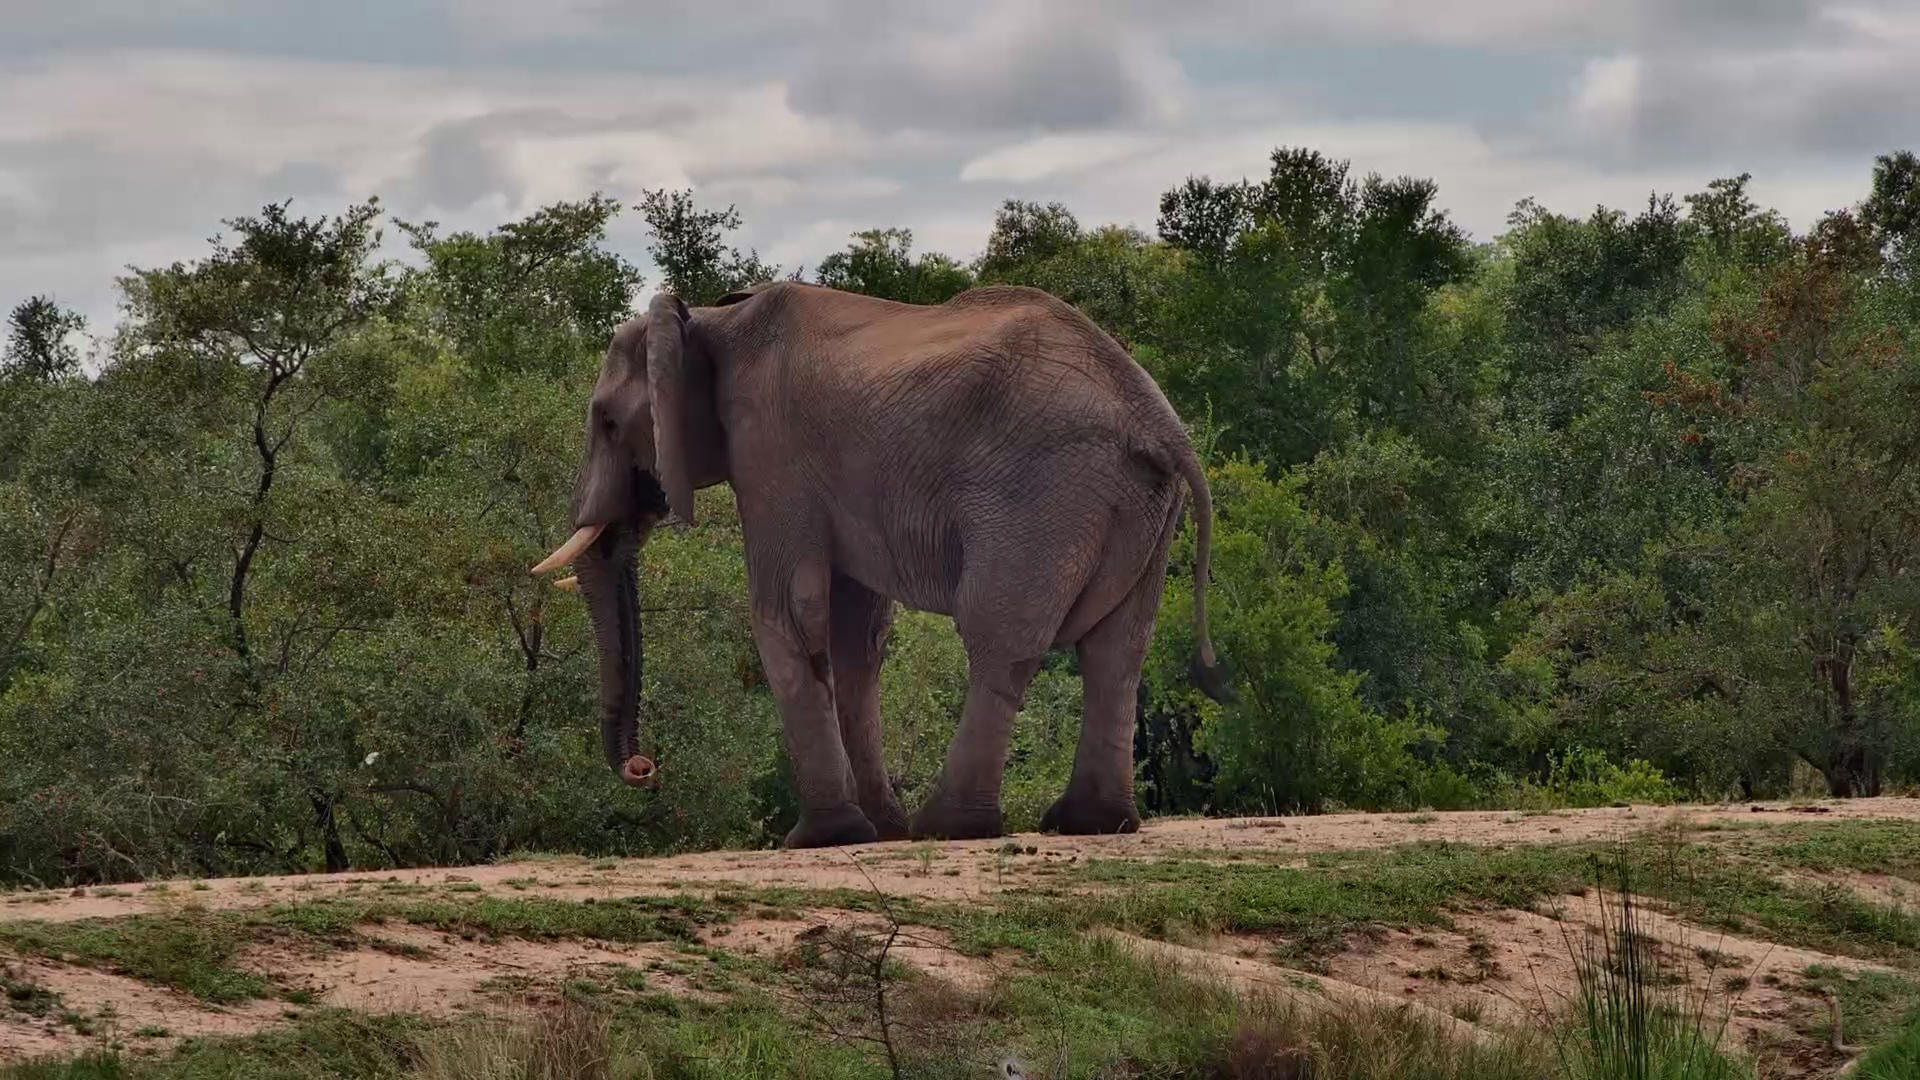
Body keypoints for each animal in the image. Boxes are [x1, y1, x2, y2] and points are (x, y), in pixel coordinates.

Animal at [531, 280, 1232, 848]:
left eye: (608, 422)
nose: (643, 768)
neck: (706, 317)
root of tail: (1160, 421)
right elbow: (853, 636)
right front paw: (876, 830)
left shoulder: (771, 452)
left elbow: (786, 615)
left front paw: (824, 837)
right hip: (1139, 503)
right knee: (1118, 650)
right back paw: (1091, 823)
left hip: (1042, 495)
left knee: (1000, 638)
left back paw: (950, 827)